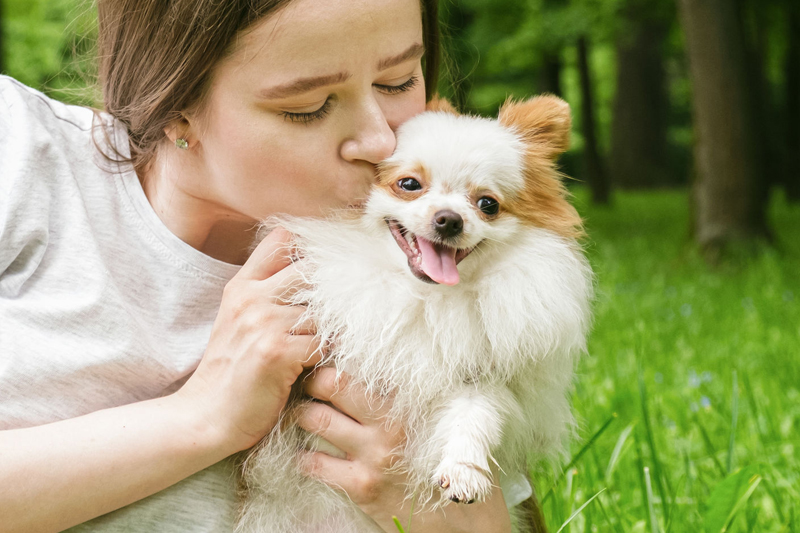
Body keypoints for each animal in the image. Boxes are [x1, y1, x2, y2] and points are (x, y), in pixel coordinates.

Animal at [238, 95, 592, 532]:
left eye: (487, 204)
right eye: (409, 184)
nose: (449, 219)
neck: (425, 299)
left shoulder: (481, 375)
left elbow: (479, 409)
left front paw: (465, 469)